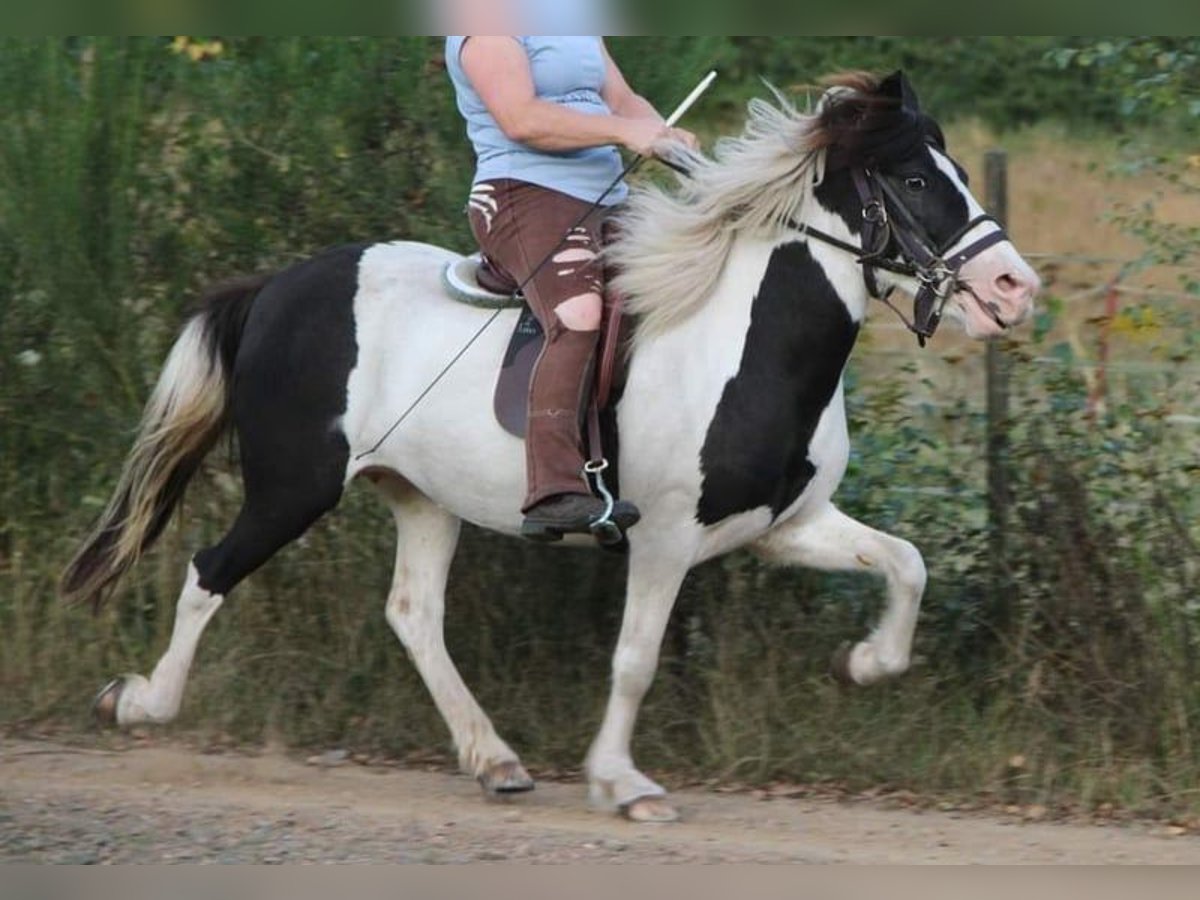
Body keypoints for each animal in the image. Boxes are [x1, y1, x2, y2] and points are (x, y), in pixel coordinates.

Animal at [61, 71, 1038, 823]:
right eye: (914, 181)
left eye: (954, 172)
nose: (1013, 288)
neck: (741, 341)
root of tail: (273, 289)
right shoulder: (664, 538)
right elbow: (635, 662)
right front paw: (623, 784)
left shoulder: (786, 526)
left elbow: (906, 564)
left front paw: (865, 663)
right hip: (292, 487)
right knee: (208, 572)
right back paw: (137, 702)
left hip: (422, 496)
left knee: (413, 614)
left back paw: (494, 760)